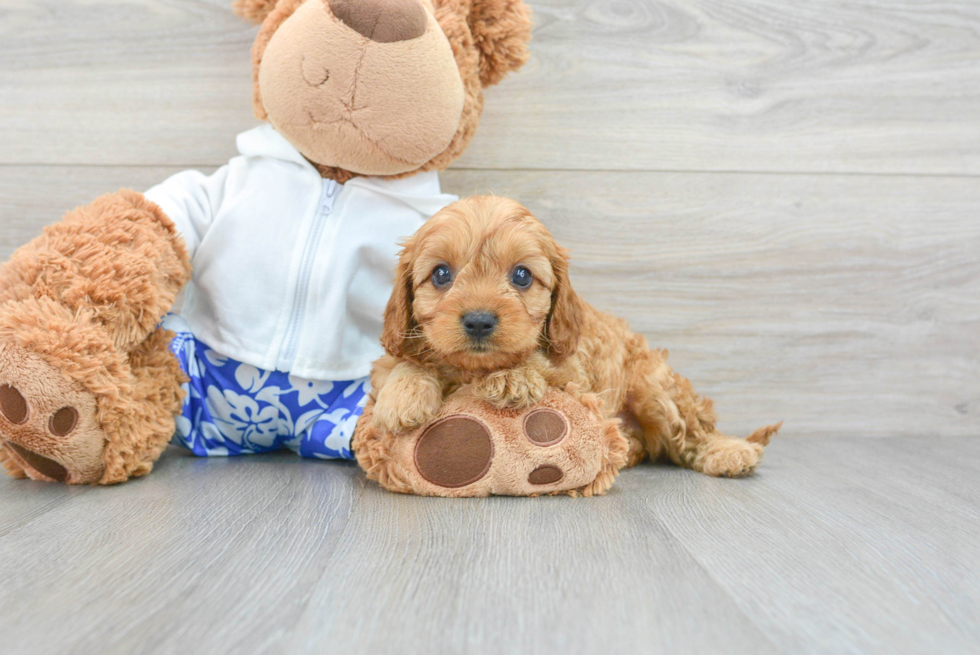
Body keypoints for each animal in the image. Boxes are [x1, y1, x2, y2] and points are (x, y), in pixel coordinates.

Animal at [368, 195, 780, 476]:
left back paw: (728, 452)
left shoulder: (573, 374)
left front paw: (512, 377)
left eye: (521, 276)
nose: (480, 321)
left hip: (655, 389)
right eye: (441, 274)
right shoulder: (390, 356)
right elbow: (402, 363)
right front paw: (403, 395)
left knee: (692, 431)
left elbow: (537, 363)